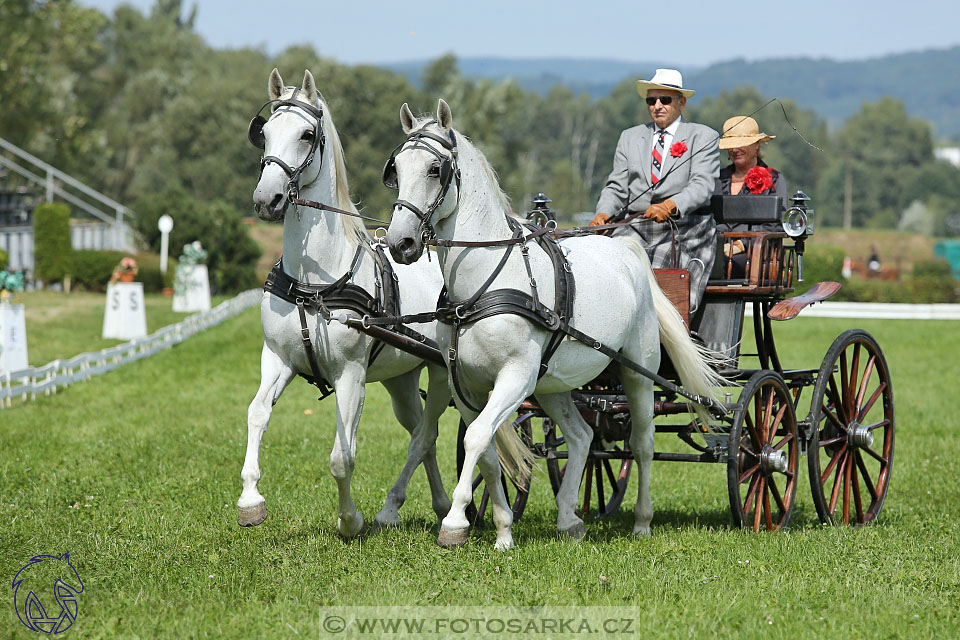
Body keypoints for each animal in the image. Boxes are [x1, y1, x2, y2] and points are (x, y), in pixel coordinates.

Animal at [238, 70, 452, 536]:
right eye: (265, 133)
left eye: (307, 134)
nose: (266, 200)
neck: (313, 282)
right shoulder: (276, 357)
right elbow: (257, 413)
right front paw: (250, 499)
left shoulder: (351, 375)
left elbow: (342, 455)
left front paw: (350, 520)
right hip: (401, 379)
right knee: (422, 434)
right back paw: (442, 504)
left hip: (445, 373)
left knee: (431, 434)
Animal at [386, 100, 724, 552]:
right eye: (396, 169)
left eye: (434, 169)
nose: (400, 243)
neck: (482, 286)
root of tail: (627, 249)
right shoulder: (466, 384)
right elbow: (488, 450)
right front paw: (503, 529)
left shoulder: (516, 376)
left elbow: (477, 438)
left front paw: (455, 522)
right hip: (554, 385)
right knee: (582, 436)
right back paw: (569, 518)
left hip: (638, 372)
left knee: (643, 443)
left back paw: (642, 521)